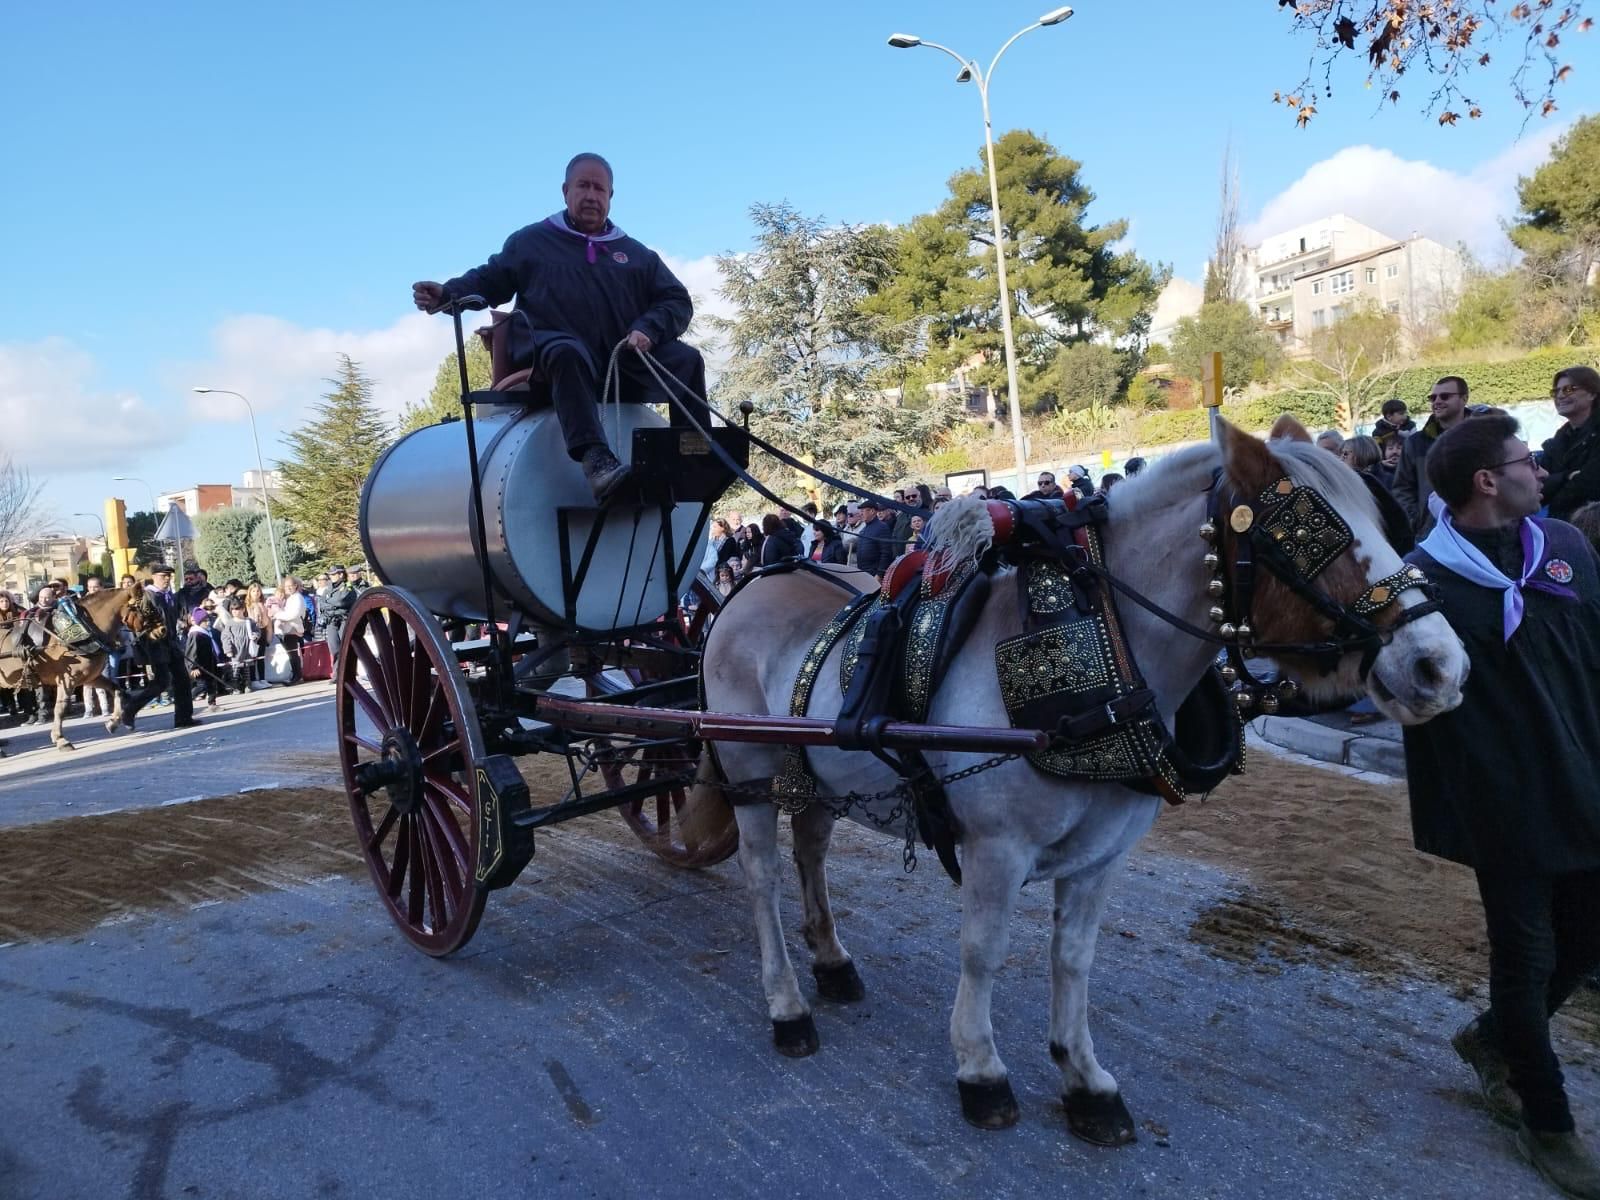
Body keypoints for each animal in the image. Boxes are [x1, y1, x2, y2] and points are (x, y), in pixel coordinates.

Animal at [0, 585, 155, 752]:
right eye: (147, 608)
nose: (162, 630)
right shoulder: (67, 678)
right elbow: (61, 707)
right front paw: (60, 739)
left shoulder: (90, 677)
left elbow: (118, 691)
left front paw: (115, 722)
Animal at [688, 419, 1465, 1145]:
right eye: (1309, 534)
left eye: (1384, 524)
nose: (1439, 667)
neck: (1107, 652)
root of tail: (743, 593)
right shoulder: (997, 849)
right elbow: (984, 951)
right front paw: (980, 1069)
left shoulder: (1102, 854)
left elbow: (1074, 958)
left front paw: (1084, 1079)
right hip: (751, 770)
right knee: (763, 877)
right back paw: (788, 1005)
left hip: (815, 770)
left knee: (810, 852)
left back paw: (831, 961)